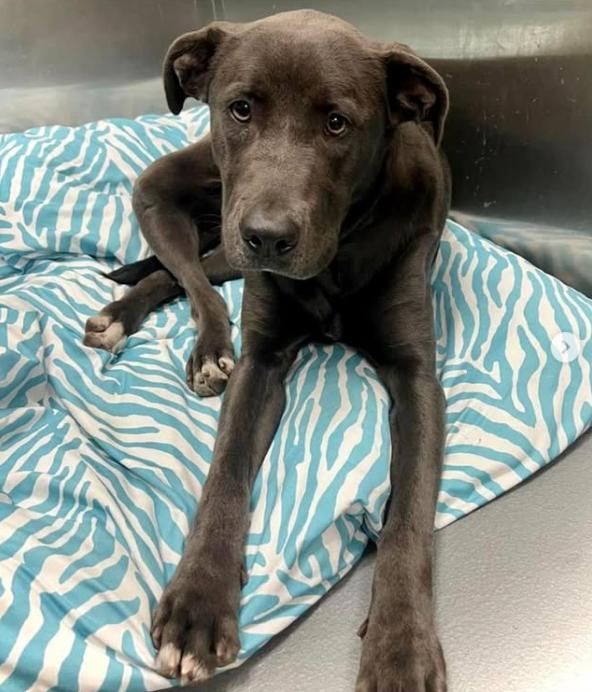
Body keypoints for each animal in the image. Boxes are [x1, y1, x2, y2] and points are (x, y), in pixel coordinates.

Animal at [83, 10, 451, 691]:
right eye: (241, 109)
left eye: (337, 122)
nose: (268, 237)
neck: (340, 254)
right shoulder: (261, 363)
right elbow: (225, 469)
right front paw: (199, 601)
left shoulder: (418, 380)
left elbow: (408, 514)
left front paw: (400, 645)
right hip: (179, 203)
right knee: (189, 278)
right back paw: (155, 330)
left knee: (186, 273)